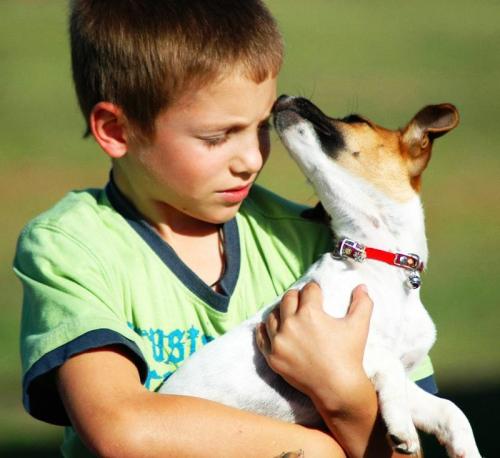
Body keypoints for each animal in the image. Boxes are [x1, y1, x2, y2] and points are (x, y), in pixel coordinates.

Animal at [160, 95, 480, 456]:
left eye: (355, 119)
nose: (285, 97)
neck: (378, 265)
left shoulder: (389, 374)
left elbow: (449, 409)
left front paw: (464, 448)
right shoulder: (343, 349)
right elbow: (389, 365)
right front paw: (401, 426)